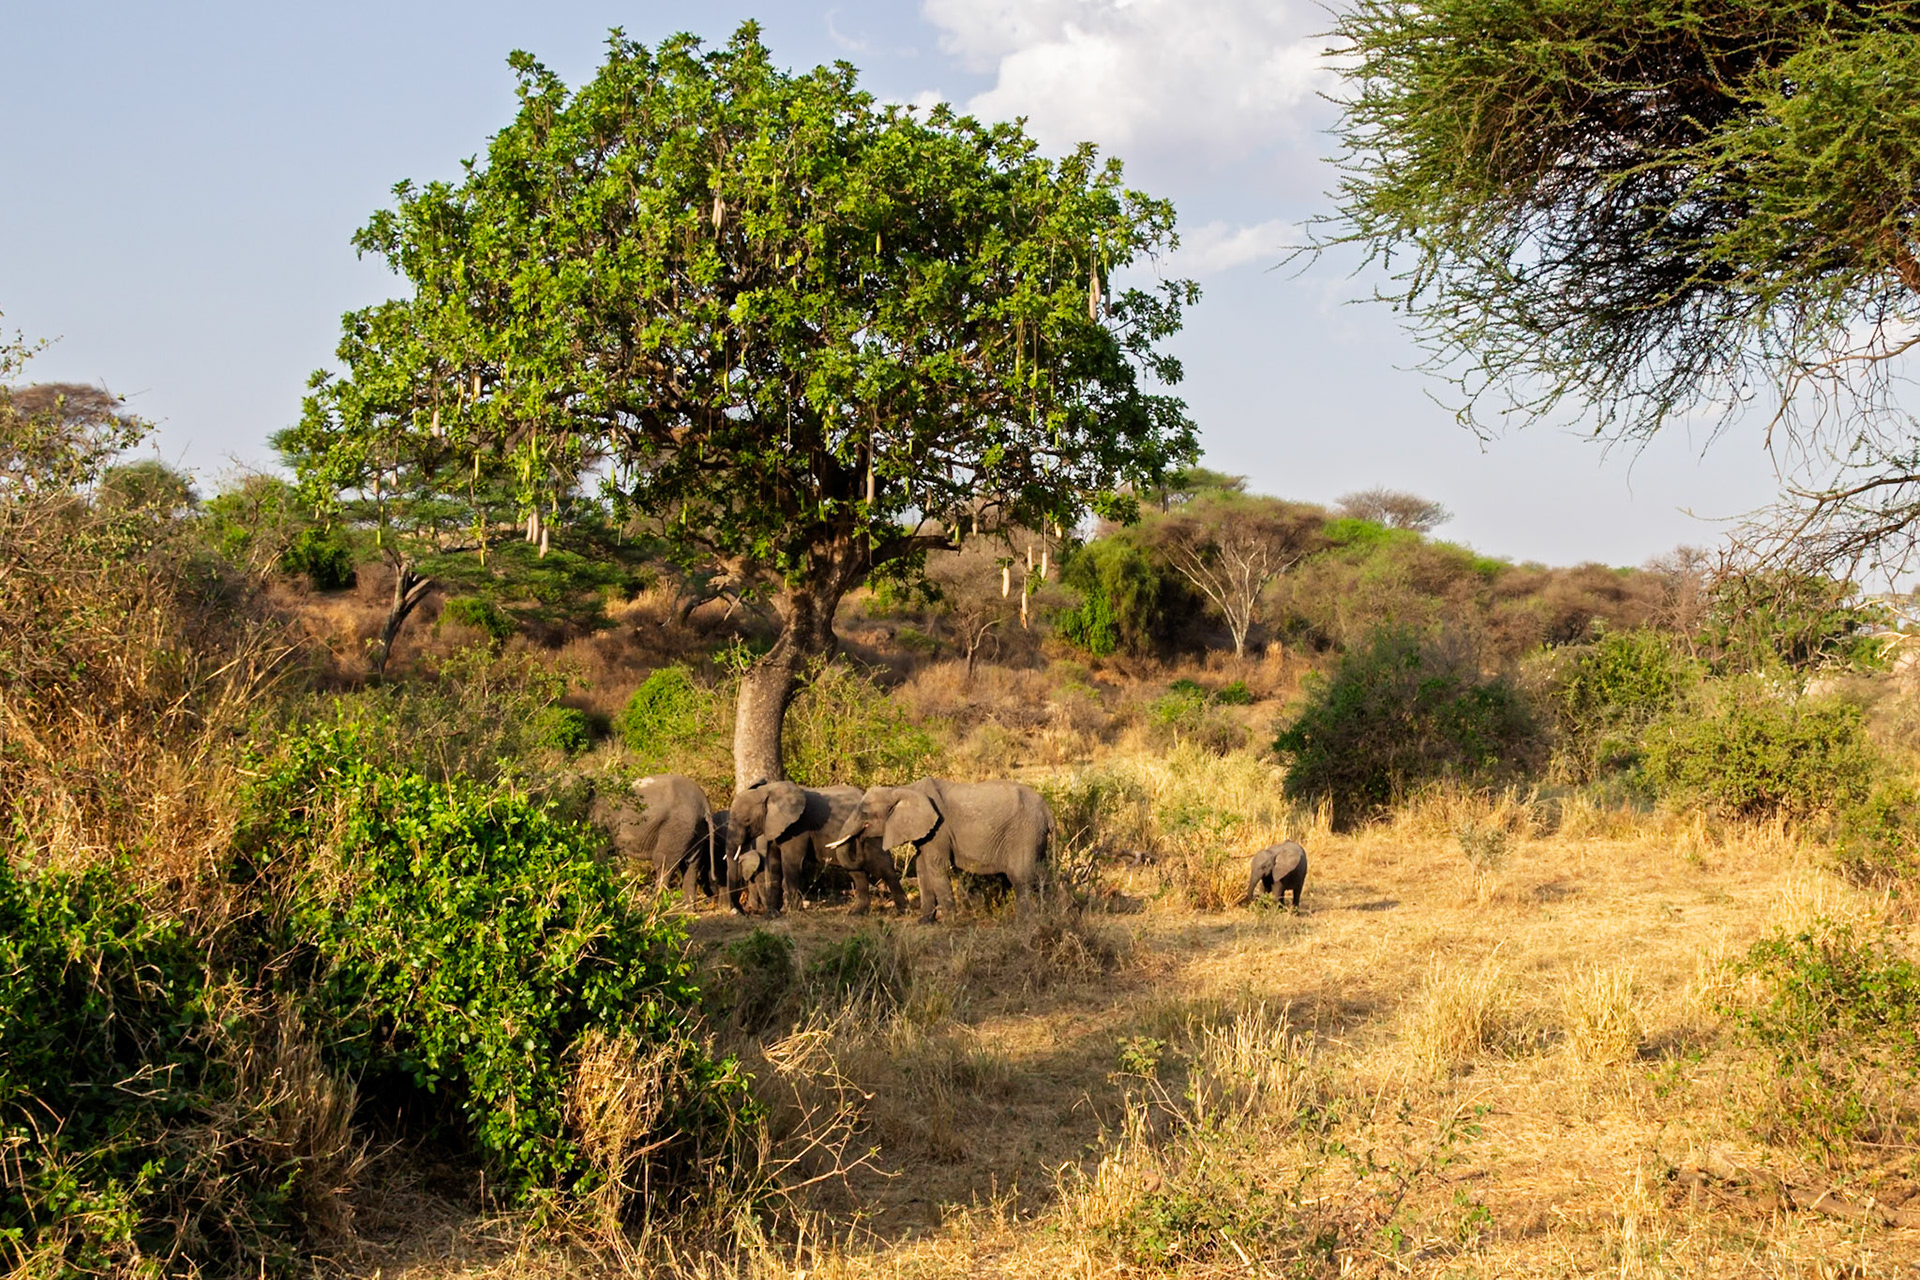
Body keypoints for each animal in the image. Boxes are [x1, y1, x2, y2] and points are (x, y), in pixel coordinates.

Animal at [725, 780, 906, 915]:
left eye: (747, 821)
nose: (744, 912)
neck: (768, 791)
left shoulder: (797, 828)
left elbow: (791, 863)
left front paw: (793, 912)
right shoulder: (774, 827)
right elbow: (774, 864)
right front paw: (772, 914)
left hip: (872, 834)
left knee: (883, 867)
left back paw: (902, 911)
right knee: (857, 872)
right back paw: (856, 913)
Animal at [828, 779, 1051, 922]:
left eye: (864, 813)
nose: (859, 840)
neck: (902, 790)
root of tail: (1047, 810)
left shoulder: (939, 829)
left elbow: (936, 867)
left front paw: (950, 922)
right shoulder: (925, 834)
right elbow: (922, 868)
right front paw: (925, 921)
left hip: (1024, 832)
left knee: (1020, 877)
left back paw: (1024, 922)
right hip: (1035, 836)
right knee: (1041, 874)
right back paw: (1048, 914)